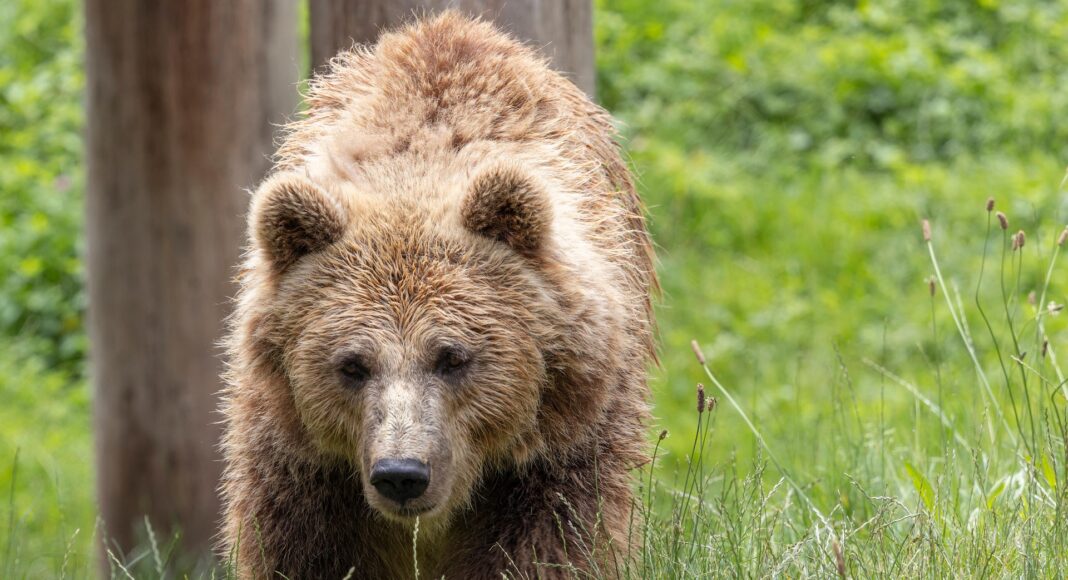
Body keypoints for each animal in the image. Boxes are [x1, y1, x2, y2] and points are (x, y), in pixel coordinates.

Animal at [219, 11, 657, 579]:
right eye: (352, 365)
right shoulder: (302, 459)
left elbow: (550, 543)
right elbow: (302, 548)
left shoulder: (558, 447)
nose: (402, 474)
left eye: (452, 357)